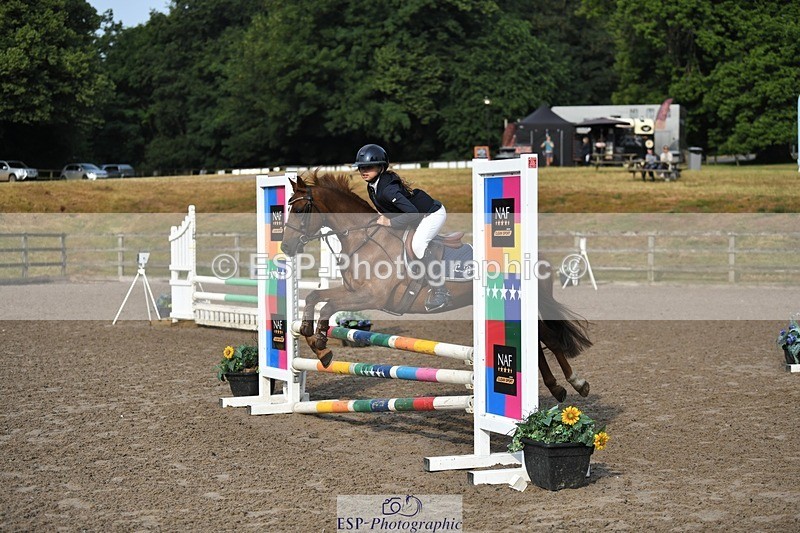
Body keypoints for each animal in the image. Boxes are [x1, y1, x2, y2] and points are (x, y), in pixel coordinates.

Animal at [280, 171, 592, 401]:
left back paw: (577, 383)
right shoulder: (354, 292)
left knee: (549, 340)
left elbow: (328, 305)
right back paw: (558, 388)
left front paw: (322, 345)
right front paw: (313, 340)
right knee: (538, 343)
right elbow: (315, 296)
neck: (364, 239)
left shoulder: (372, 297)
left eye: (301, 209)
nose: (285, 247)